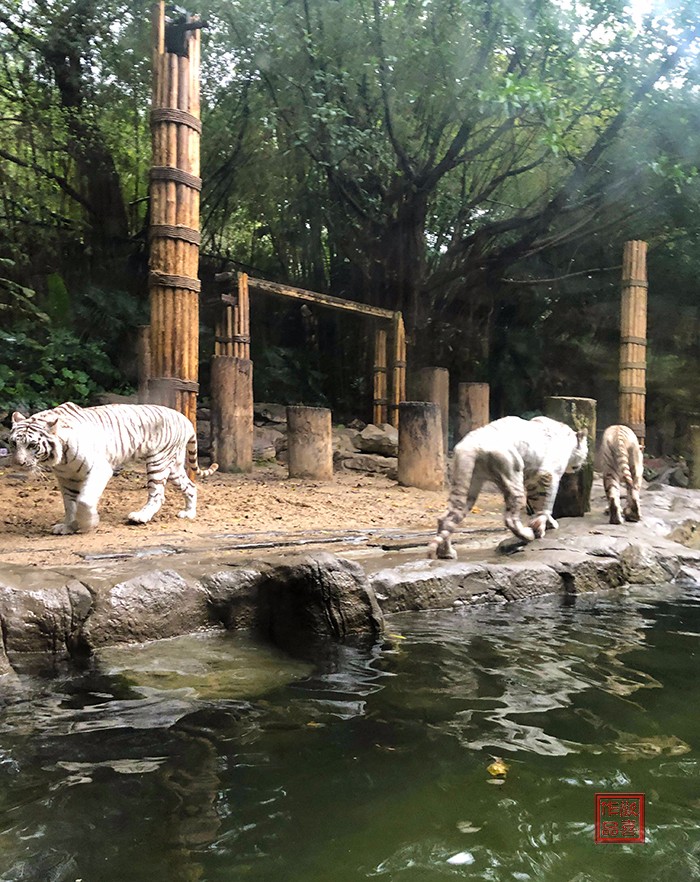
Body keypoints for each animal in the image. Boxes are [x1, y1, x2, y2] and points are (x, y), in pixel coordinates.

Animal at [9, 402, 217, 532]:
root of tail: (185, 418)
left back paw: (140, 517)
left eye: (32, 446)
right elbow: (70, 504)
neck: (61, 459)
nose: (19, 463)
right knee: (190, 486)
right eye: (13, 443)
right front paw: (68, 526)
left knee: (158, 495)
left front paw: (89, 523)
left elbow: (83, 501)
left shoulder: (98, 470)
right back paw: (189, 513)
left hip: (158, 461)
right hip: (173, 466)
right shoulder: (66, 478)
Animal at [430, 414, 588, 556]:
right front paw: (541, 527)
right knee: (510, 518)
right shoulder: (548, 475)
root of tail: (474, 446)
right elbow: (546, 503)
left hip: (468, 485)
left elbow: (538, 502)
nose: (581, 465)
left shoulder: (532, 481)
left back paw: (447, 553)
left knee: (446, 518)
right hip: (513, 474)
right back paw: (527, 535)